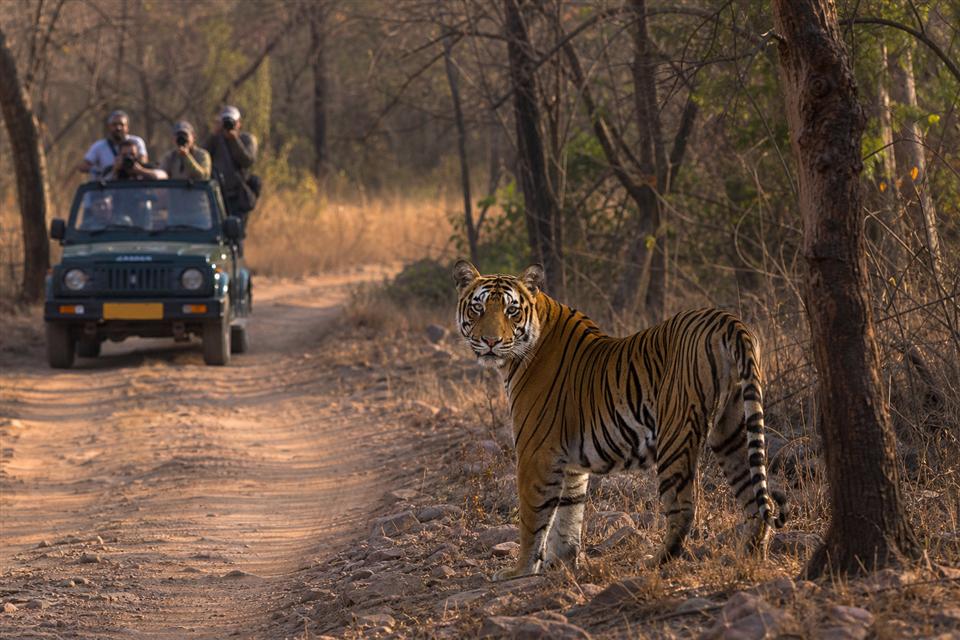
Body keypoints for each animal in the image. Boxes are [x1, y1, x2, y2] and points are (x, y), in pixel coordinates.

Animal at [453, 260, 787, 580]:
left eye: (511, 310)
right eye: (478, 308)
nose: (491, 341)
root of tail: (727, 319)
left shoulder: (536, 453)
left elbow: (532, 516)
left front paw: (520, 570)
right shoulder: (570, 463)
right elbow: (569, 514)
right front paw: (561, 563)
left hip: (676, 434)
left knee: (683, 508)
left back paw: (655, 562)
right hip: (732, 429)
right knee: (756, 500)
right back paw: (751, 558)